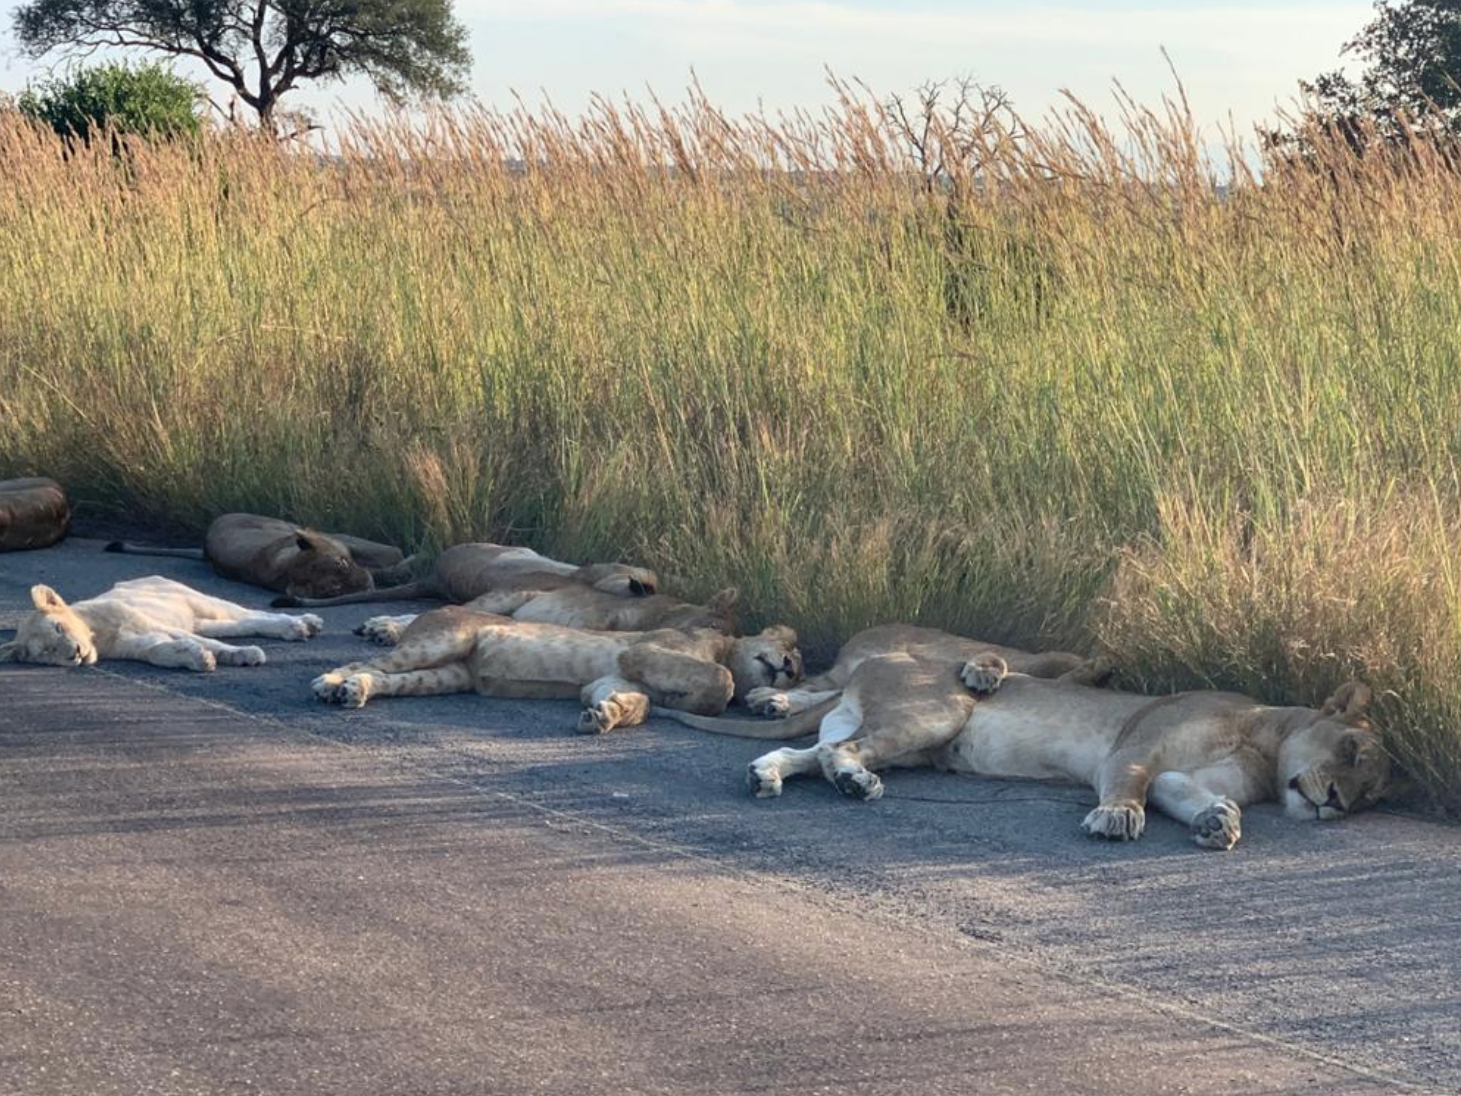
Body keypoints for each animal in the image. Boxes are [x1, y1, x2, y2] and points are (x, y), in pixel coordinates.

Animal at [0, 577, 325, 672]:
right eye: (47, 653)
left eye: (58, 627)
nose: (75, 653)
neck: (97, 634)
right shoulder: (138, 645)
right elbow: (160, 652)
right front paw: (198, 659)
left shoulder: (147, 622)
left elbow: (213, 644)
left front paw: (244, 655)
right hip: (202, 620)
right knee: (242, 624)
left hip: (200, 600)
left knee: (252, 614)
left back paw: (302, 624)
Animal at [310, 604, 802, 733]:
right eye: (790, 649)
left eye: (799, 670)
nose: (788, 669)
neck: (724, 646)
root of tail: (433, 610)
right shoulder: (640, 652)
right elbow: (724, 680)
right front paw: (703, 698)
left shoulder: (608, 678)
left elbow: (637, 703)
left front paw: (605, 716)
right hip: (444, 639)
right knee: (363, 660)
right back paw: (328, 683)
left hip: (446, 675)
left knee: (386, 677)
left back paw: (356, 691)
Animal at [707, 648, 1389, 851]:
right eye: (1352, 748)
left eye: (1371, 796)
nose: (1335, 803)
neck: (1264, 744)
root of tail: (875, 660)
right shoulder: (1133, 749)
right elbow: (1127, 785)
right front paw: (1116, 818)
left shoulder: (1178, 775)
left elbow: (1189, 793)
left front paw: (1219, 820)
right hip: (937, 712)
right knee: (837, 754)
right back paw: (854, 783)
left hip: (907, 740)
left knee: (813, 753)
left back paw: (767, 775)